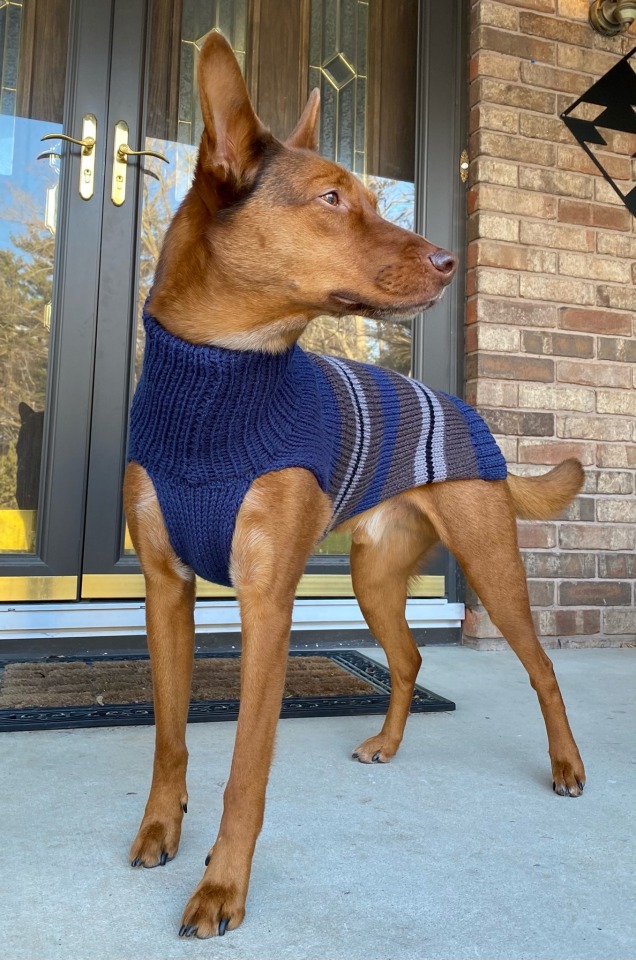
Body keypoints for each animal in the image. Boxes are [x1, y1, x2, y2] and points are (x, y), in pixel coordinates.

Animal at [124, 31, 588, 944]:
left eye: (367, 195)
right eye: (333, 199)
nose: (448, 260)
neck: (218, 379)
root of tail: (467, 410)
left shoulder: (267, 601)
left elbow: (247, 766)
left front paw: (221, 886)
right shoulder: (165, 588)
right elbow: (168, 736)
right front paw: (161, 829)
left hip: (491, 566)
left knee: (544, 668)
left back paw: (565, 765)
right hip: (374, 574)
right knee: (407, 658)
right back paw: (388, 744)